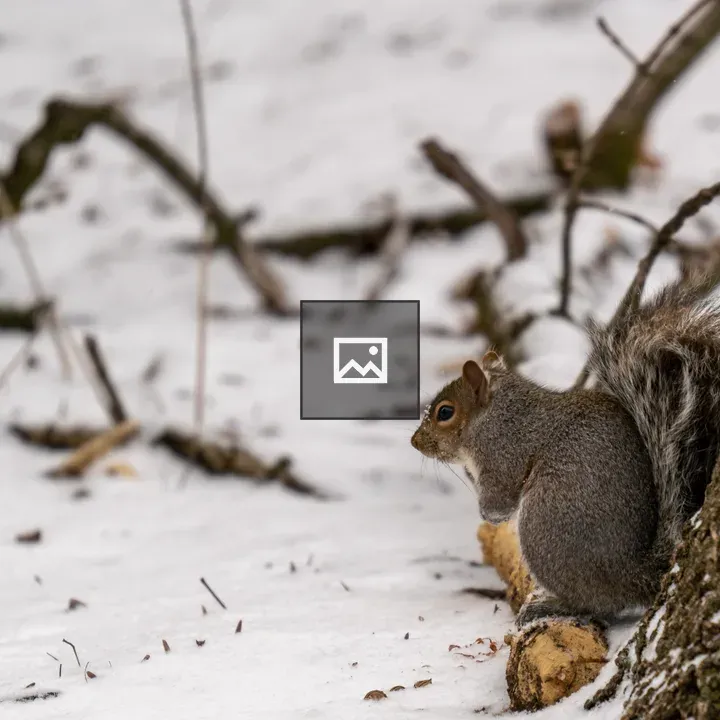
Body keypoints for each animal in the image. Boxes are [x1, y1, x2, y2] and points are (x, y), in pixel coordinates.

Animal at [411, 277, 720, 627]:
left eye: (445, 413)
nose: (415, 442)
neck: (495, 412)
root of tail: (631, 575)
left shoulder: (503, 453)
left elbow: (500, 502)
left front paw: (487, 513)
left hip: (545, 526)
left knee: (599, 604)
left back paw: (554, 606)